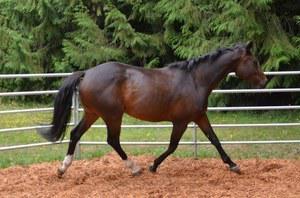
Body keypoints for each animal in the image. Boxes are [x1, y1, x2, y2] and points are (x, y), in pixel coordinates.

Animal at [38, 41, 268, 176]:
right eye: (254, 61)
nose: (265, 81)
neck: (195, 80)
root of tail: (87, 73)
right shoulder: (181, 121)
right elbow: (173, 146)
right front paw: (153, 165)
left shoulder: (199, 116)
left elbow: (215, 140)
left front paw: (233, 165)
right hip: (112, 115)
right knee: (112, 140)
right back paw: (135, 168)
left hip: (93, 113)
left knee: (75, 133)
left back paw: (62, 169)